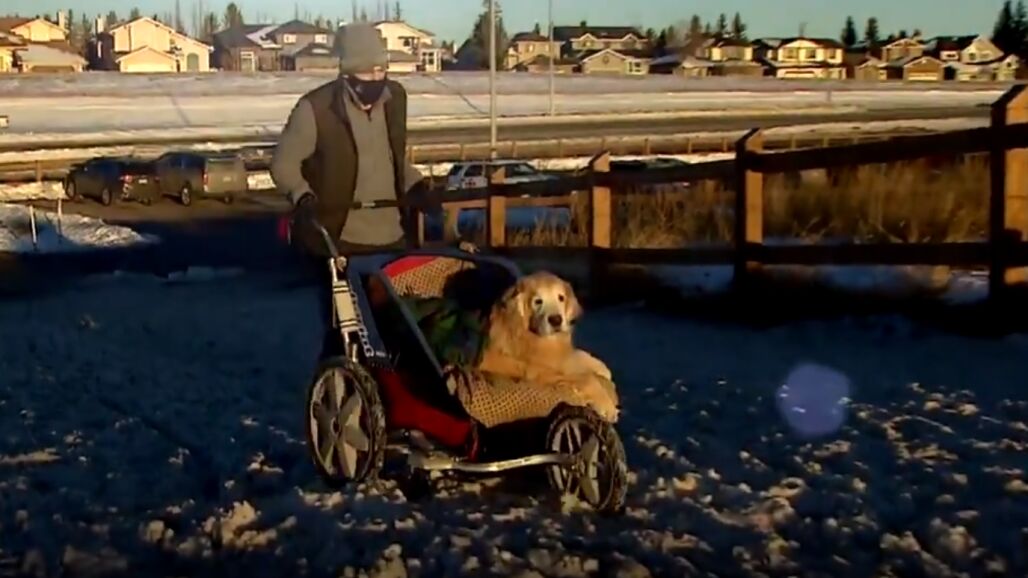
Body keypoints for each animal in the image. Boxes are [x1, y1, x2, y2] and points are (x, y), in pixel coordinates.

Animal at [477, 271, 619, 421]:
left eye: (561, 298)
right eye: (538, 301)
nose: (556, 320)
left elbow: (575, 354)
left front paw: (601, 367)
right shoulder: (540, 373)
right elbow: (587, 378)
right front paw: (607, 405)